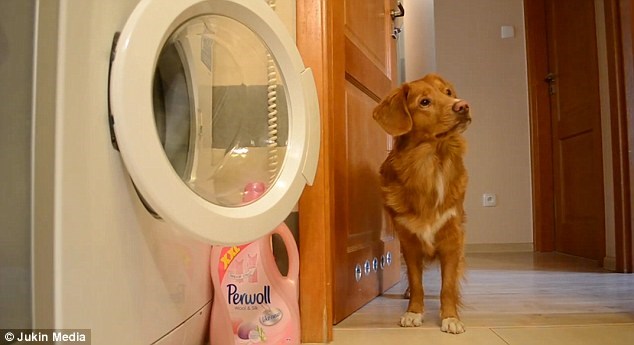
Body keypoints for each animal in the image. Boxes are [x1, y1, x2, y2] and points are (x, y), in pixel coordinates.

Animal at [370, 73, 470, 334]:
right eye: (424, 102)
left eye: (447, 92)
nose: (463, 105)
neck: (431, 164)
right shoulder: (409, 242)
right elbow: (416, 282)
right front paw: (414, 312)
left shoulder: (452, 239)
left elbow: (448, 285)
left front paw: (450, 316)